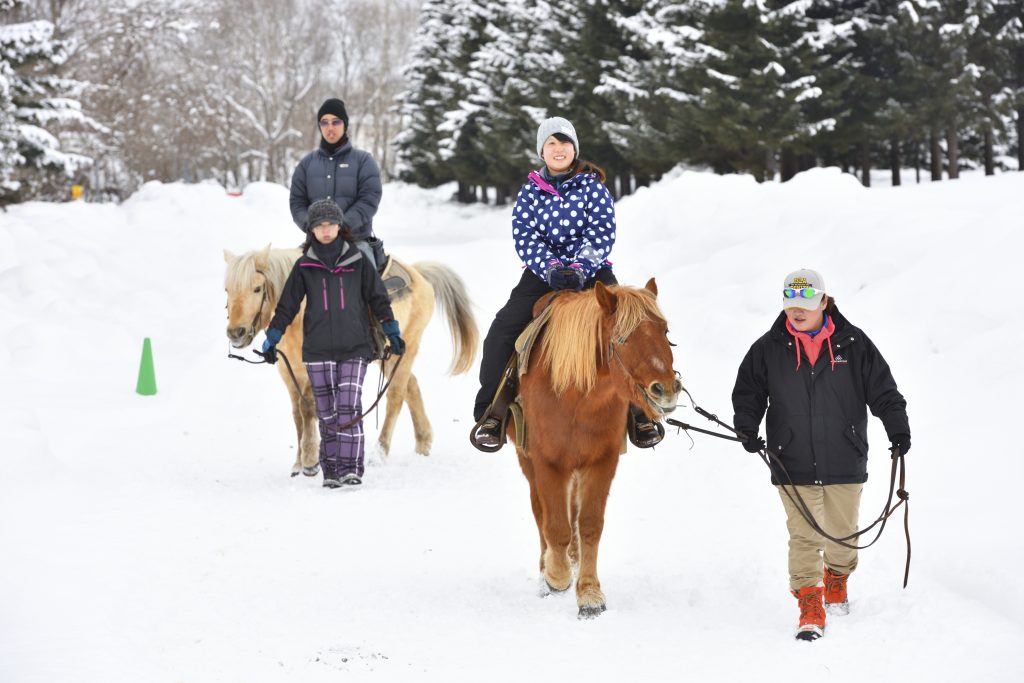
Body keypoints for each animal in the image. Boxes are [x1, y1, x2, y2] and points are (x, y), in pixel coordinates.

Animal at [224, 245, 478, 476]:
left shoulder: (312, 366)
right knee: (411, 386)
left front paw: (310, 461)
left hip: (406, 348)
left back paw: (380, 453)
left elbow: (308, 408)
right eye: (227, 289)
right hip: (387, 357)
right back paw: (423, 443)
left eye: (257, 288)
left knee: (396, 395)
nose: (236, 333)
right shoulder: (288, 370)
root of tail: (418, 274)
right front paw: (298, 463)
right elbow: (297, 413)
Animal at [514, 279, 682, 618]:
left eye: (665, 331)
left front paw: (589, 594)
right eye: (621, 337)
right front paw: (556, 576)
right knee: (541, 513)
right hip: (530, 463)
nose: (666, 390)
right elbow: (555, 526)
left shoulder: (601, 462)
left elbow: (589, 525)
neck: (576, 396)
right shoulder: (548, 462)